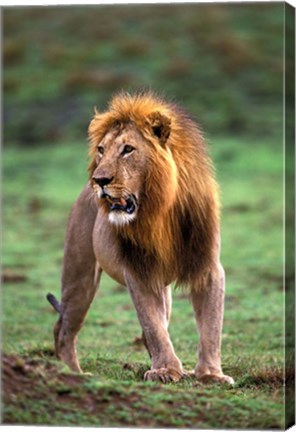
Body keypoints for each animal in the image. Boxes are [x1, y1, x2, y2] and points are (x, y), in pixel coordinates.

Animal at [46, 91, 234, 384]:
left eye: (128, 149)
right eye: (101, 150)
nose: (99, 180)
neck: (160, 211)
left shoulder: (208, 267)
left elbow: (211, 325)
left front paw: (211, 374)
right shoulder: (139, 271)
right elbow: (153, 326)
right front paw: (166, 370)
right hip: (80, 277)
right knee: (63, 326)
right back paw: (73, 373)